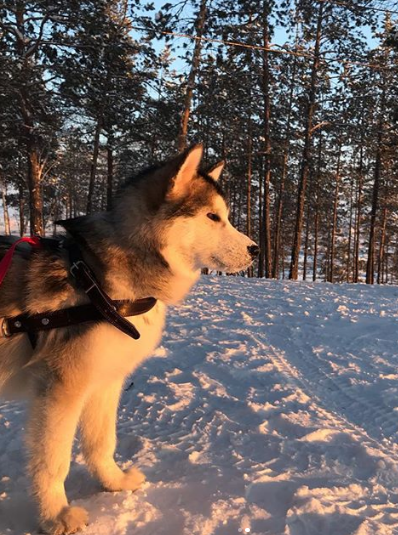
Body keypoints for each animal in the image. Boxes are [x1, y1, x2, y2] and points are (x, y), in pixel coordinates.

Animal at [0, 144, 258, 532]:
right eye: (213, 217)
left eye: (223, 216)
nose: (255, 250)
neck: (98, 280)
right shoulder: (61, 388)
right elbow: (53, 460)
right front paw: (56, 514)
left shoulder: (105, 379)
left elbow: (101, 441)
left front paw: (113, 482)